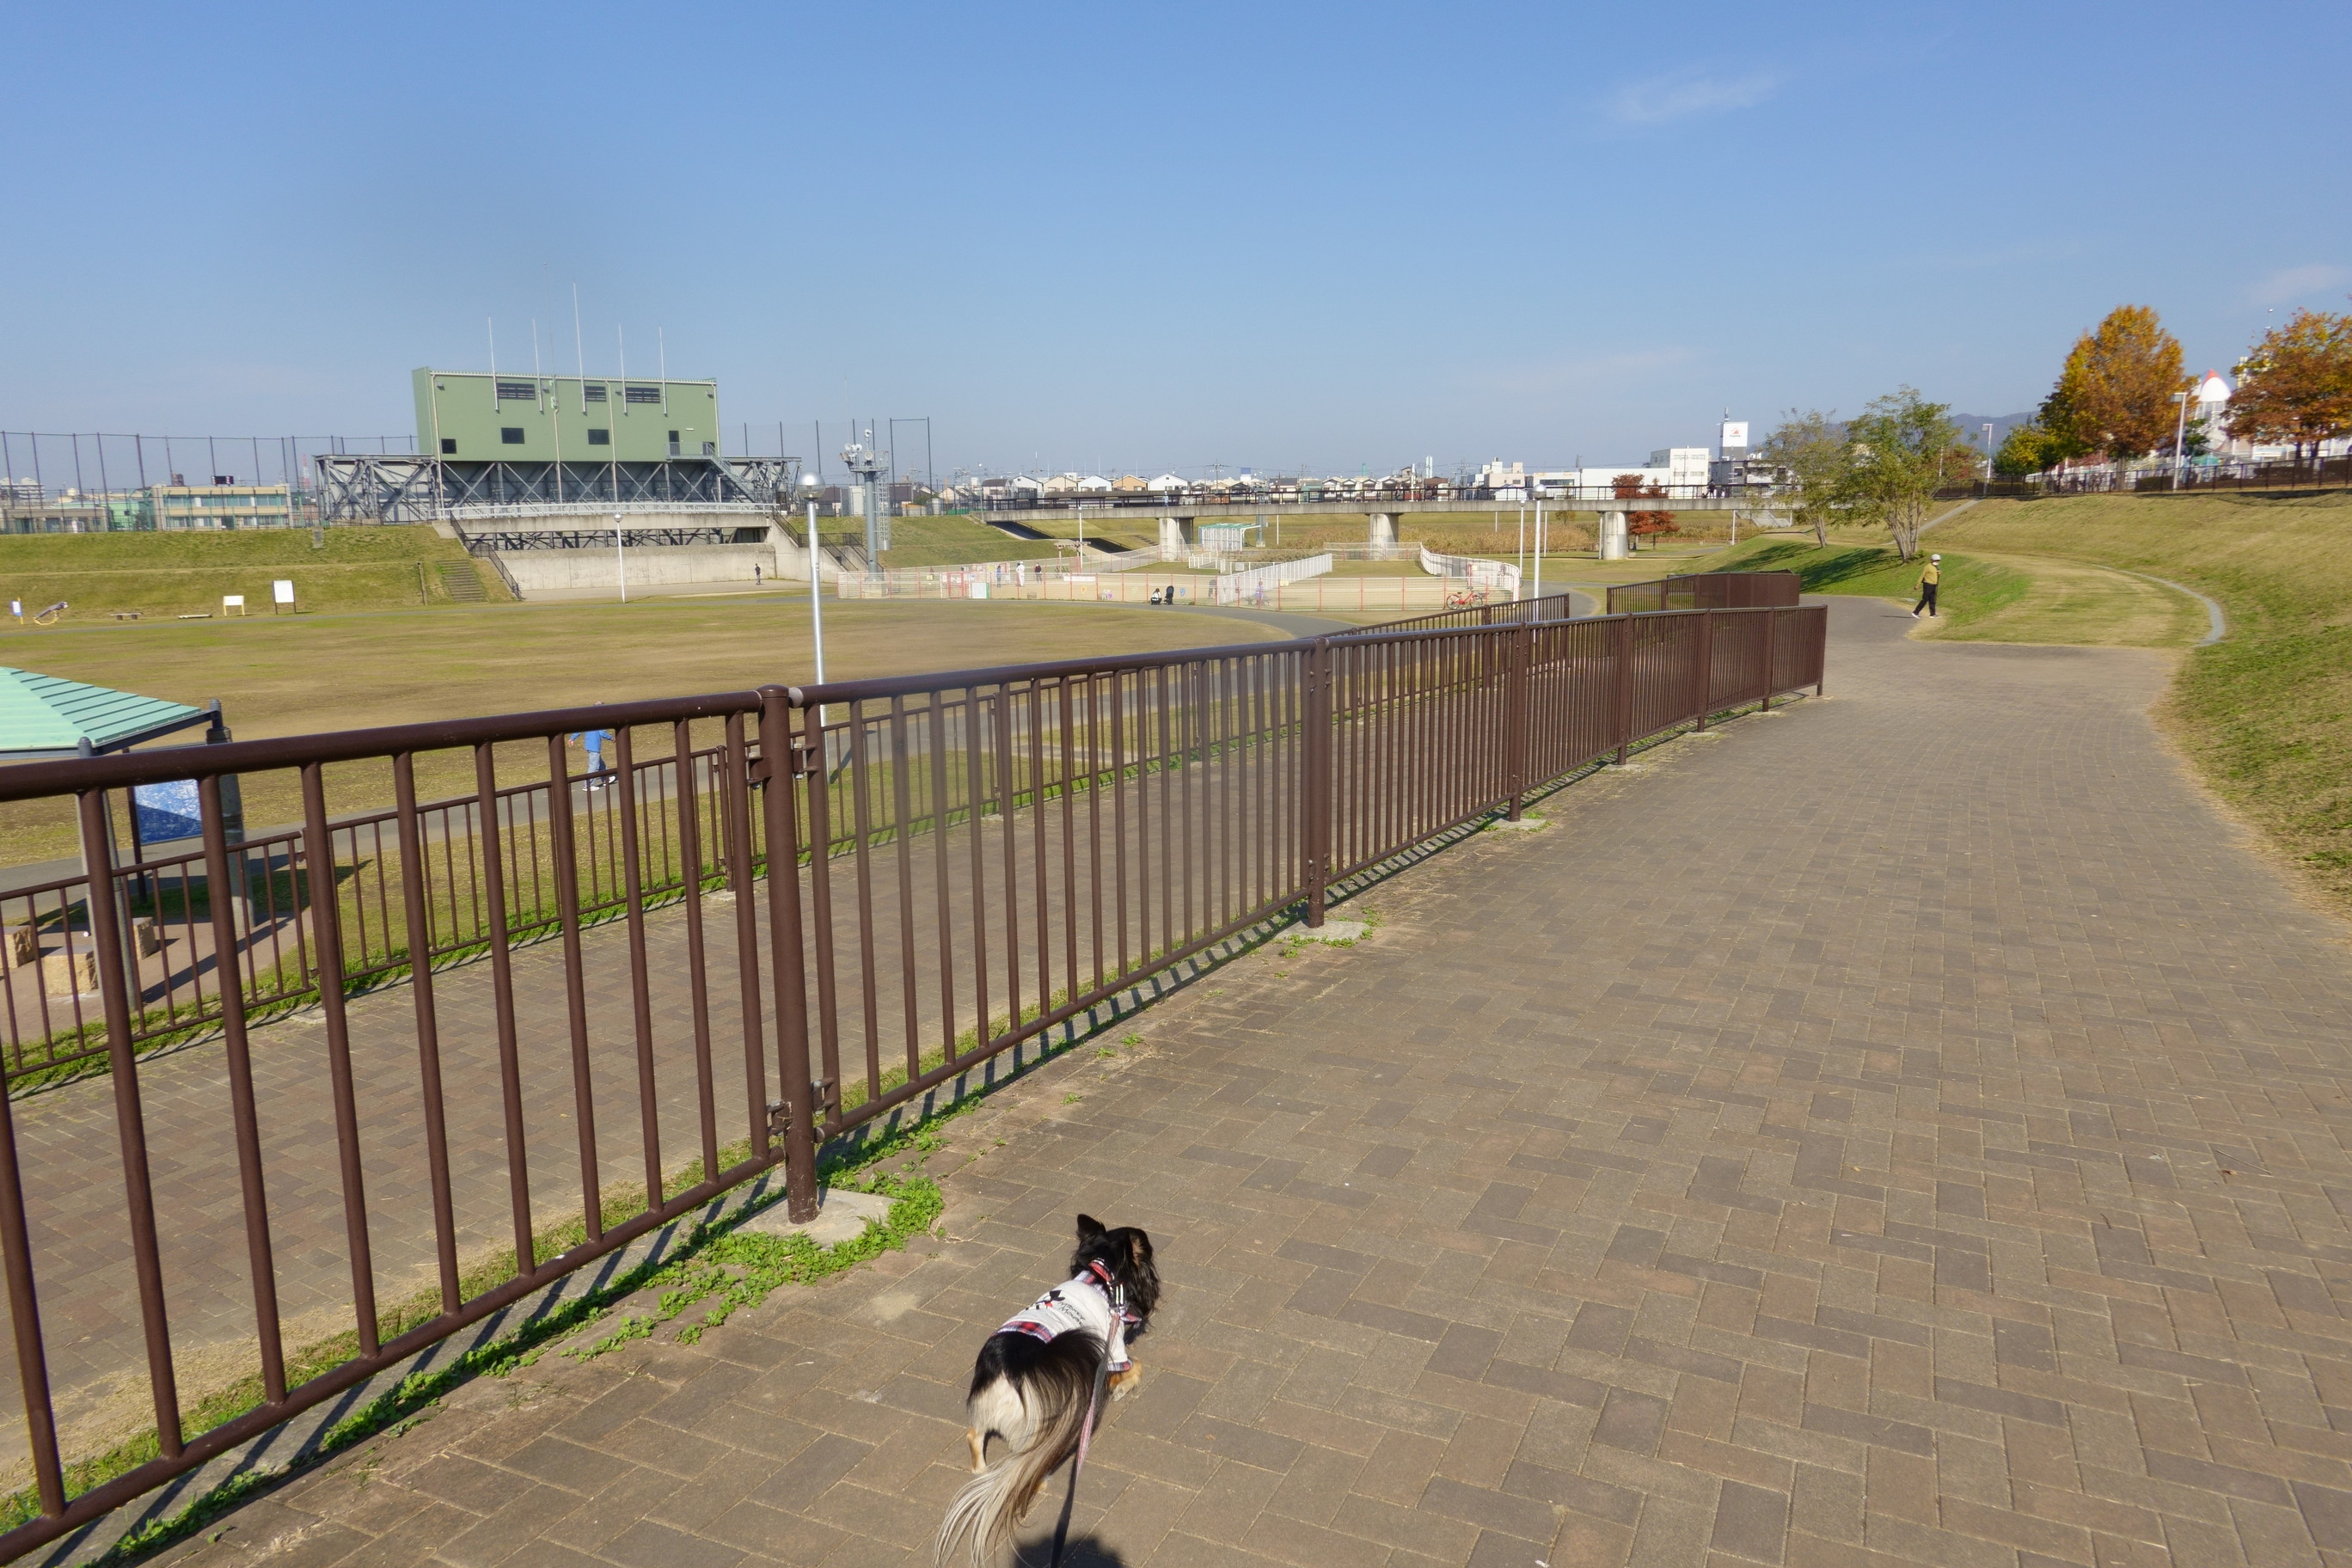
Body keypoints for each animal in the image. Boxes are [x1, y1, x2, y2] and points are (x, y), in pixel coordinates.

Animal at [931, 1222, 1161, 1560]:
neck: (1097, 1277)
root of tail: (1009, 1366)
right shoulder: (1113, 1347)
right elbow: (1135, 1367)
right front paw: (1122, 1387)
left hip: (989, 1412)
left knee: (975, 1436)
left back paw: (982, 1471)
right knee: (1025, 1461)